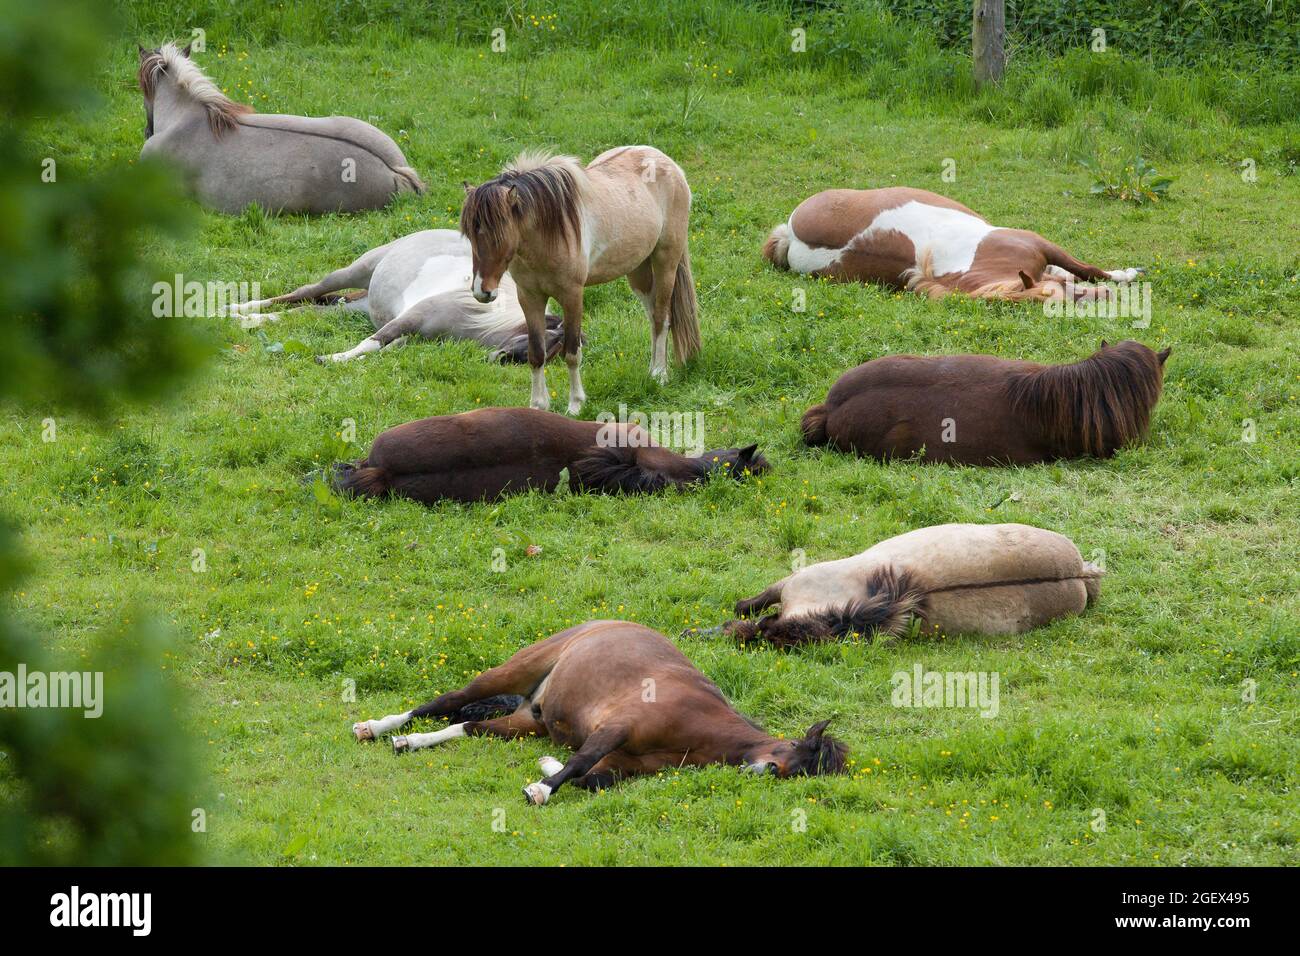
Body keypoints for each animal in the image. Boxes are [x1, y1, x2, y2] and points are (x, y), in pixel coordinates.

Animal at [224, 229, 570, 364]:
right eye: (544, 342)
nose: (497, 359)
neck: (481, 317)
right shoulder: (410, 318)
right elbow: (373, 342)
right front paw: (331, 359)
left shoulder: (411, 334)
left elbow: (386, 347)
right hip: (354, 271)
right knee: (304, 293)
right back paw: (240, 308)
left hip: (355, 308)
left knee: (308, 311)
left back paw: (250, 320)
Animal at [352, 620, 847, 804]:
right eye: (797, 752)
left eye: (805, 772)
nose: (759, 772)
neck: (700, 723)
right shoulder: (616, 728)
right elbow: (580, 762)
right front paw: (540, 789)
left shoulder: (623, 765)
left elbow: (590, 778)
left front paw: (545, 769)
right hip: (508, 673)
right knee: (444, 702)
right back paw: (377, 727)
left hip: (526, 721)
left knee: (468, 726)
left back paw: (409, 741)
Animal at [460, 147, 700, 415]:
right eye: (470, 235)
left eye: (499, 235)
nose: (482, 291)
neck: (548, 233)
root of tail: (668, 163)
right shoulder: (530, 298)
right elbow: (536, 353)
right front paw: (538, 406)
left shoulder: (572, 296)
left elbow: (572, 352)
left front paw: (575, 405)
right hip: (639, 272)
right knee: (653, 318)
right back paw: (653, 370)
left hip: (665, 261)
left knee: (661, 318)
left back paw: (659, 374)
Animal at [763, 187, 1143, 303]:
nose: (1106, 299)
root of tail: (791, 235)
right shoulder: (1039, 243)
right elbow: (1083, 269)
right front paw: (1125, 275)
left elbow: (1081, 269)